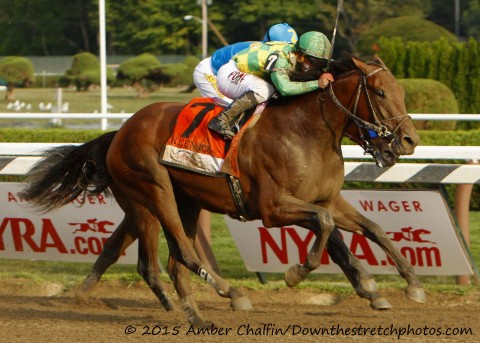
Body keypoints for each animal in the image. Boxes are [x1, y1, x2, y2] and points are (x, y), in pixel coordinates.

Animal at [18, 55, 424, 328]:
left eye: (404, 91)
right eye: (380, 92)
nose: (409, 140)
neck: (307, 131)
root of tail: (119, 132)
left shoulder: (326, 199)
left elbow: (369, 229)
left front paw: (407, 285)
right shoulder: (275, 208)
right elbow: (325, 226)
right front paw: (296, 273)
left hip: (179, 202)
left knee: (161, 259)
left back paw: (191, 314)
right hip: (153, 192)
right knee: (177, 253)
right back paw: (231, 294)